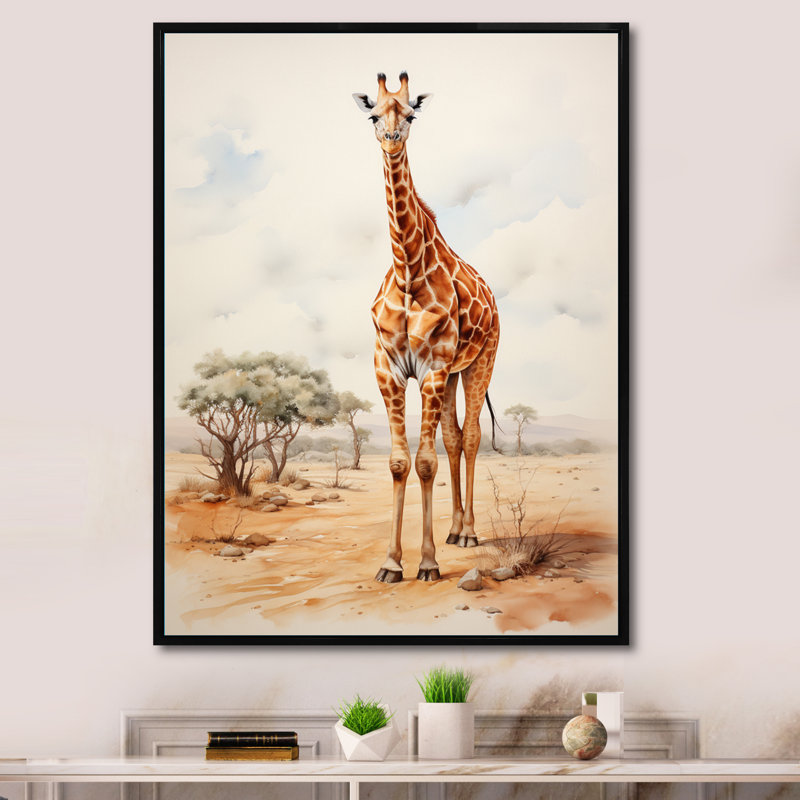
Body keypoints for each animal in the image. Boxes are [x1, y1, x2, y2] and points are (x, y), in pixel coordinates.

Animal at [353, 72, 501, 583]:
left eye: (411, 114)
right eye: (374, 115)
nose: (391, 138)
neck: (407, 270)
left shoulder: (432, 367)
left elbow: (424, 462)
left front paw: (429, 563)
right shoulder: (389, 368)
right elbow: (401, 462)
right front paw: (391, 563)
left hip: (480, 362)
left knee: (471, 437)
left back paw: (470, 533)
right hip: (454, 371)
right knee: (455, 438)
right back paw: (456, 531)